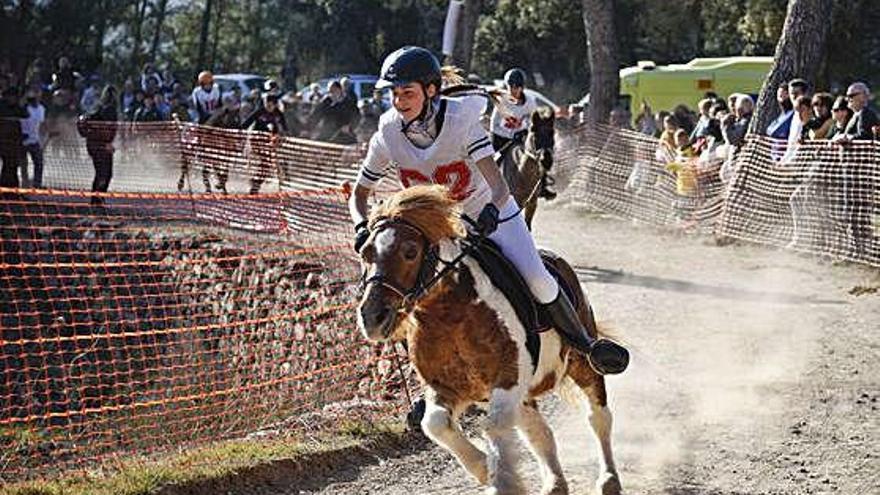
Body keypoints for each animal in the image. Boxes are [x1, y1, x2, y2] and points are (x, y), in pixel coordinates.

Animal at [356, 186, 620, 495]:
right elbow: (434, 424)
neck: (449, 315)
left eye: (410, 252)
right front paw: (484, 468)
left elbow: (493, 427)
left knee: (598, 417)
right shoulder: (449, 388)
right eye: (364, 252)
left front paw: (501, 480)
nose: (372, 317)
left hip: (582, 364)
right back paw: (555, 483)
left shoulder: (507, 380)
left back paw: (609, 479)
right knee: (538, 431)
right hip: (526, 395)